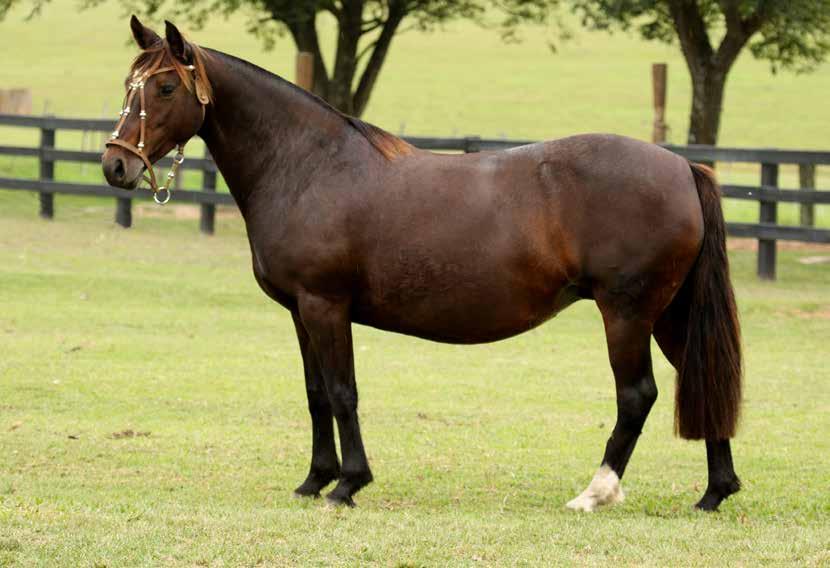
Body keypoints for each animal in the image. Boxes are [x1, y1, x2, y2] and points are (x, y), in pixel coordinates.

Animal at [101, 17, 744, 512]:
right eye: (130, 82)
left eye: (165, 87)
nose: (115, 165)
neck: (309, 167)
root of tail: (681, 166)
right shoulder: (299, 312)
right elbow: (315, 393)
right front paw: (314, 480)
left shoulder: (325, 306)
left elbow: (343, 392)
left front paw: (348, 484)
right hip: (670, 314)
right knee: (701, 378)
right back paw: (714, 493)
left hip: (627, 314)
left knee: (637, 395)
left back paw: (595, 493)